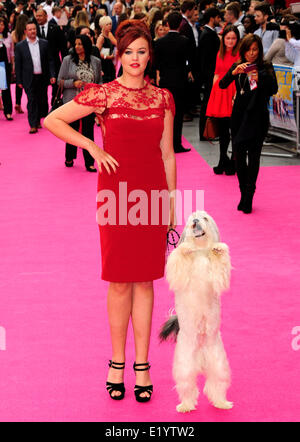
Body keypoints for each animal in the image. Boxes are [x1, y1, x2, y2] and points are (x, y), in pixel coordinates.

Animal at [161, 211, 233, 414]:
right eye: (191, 219)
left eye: (204, 218)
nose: (195, 221)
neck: (200, 251)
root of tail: (201, 356)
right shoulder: (178, 270)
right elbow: (178, 258)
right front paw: (186, 249)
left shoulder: (218, 276)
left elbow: (219, 270)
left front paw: (218, 249)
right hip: (185, 366)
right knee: (187, 387)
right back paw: (185, 406)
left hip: (218, 364)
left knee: (216, 385)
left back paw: (222, 403)